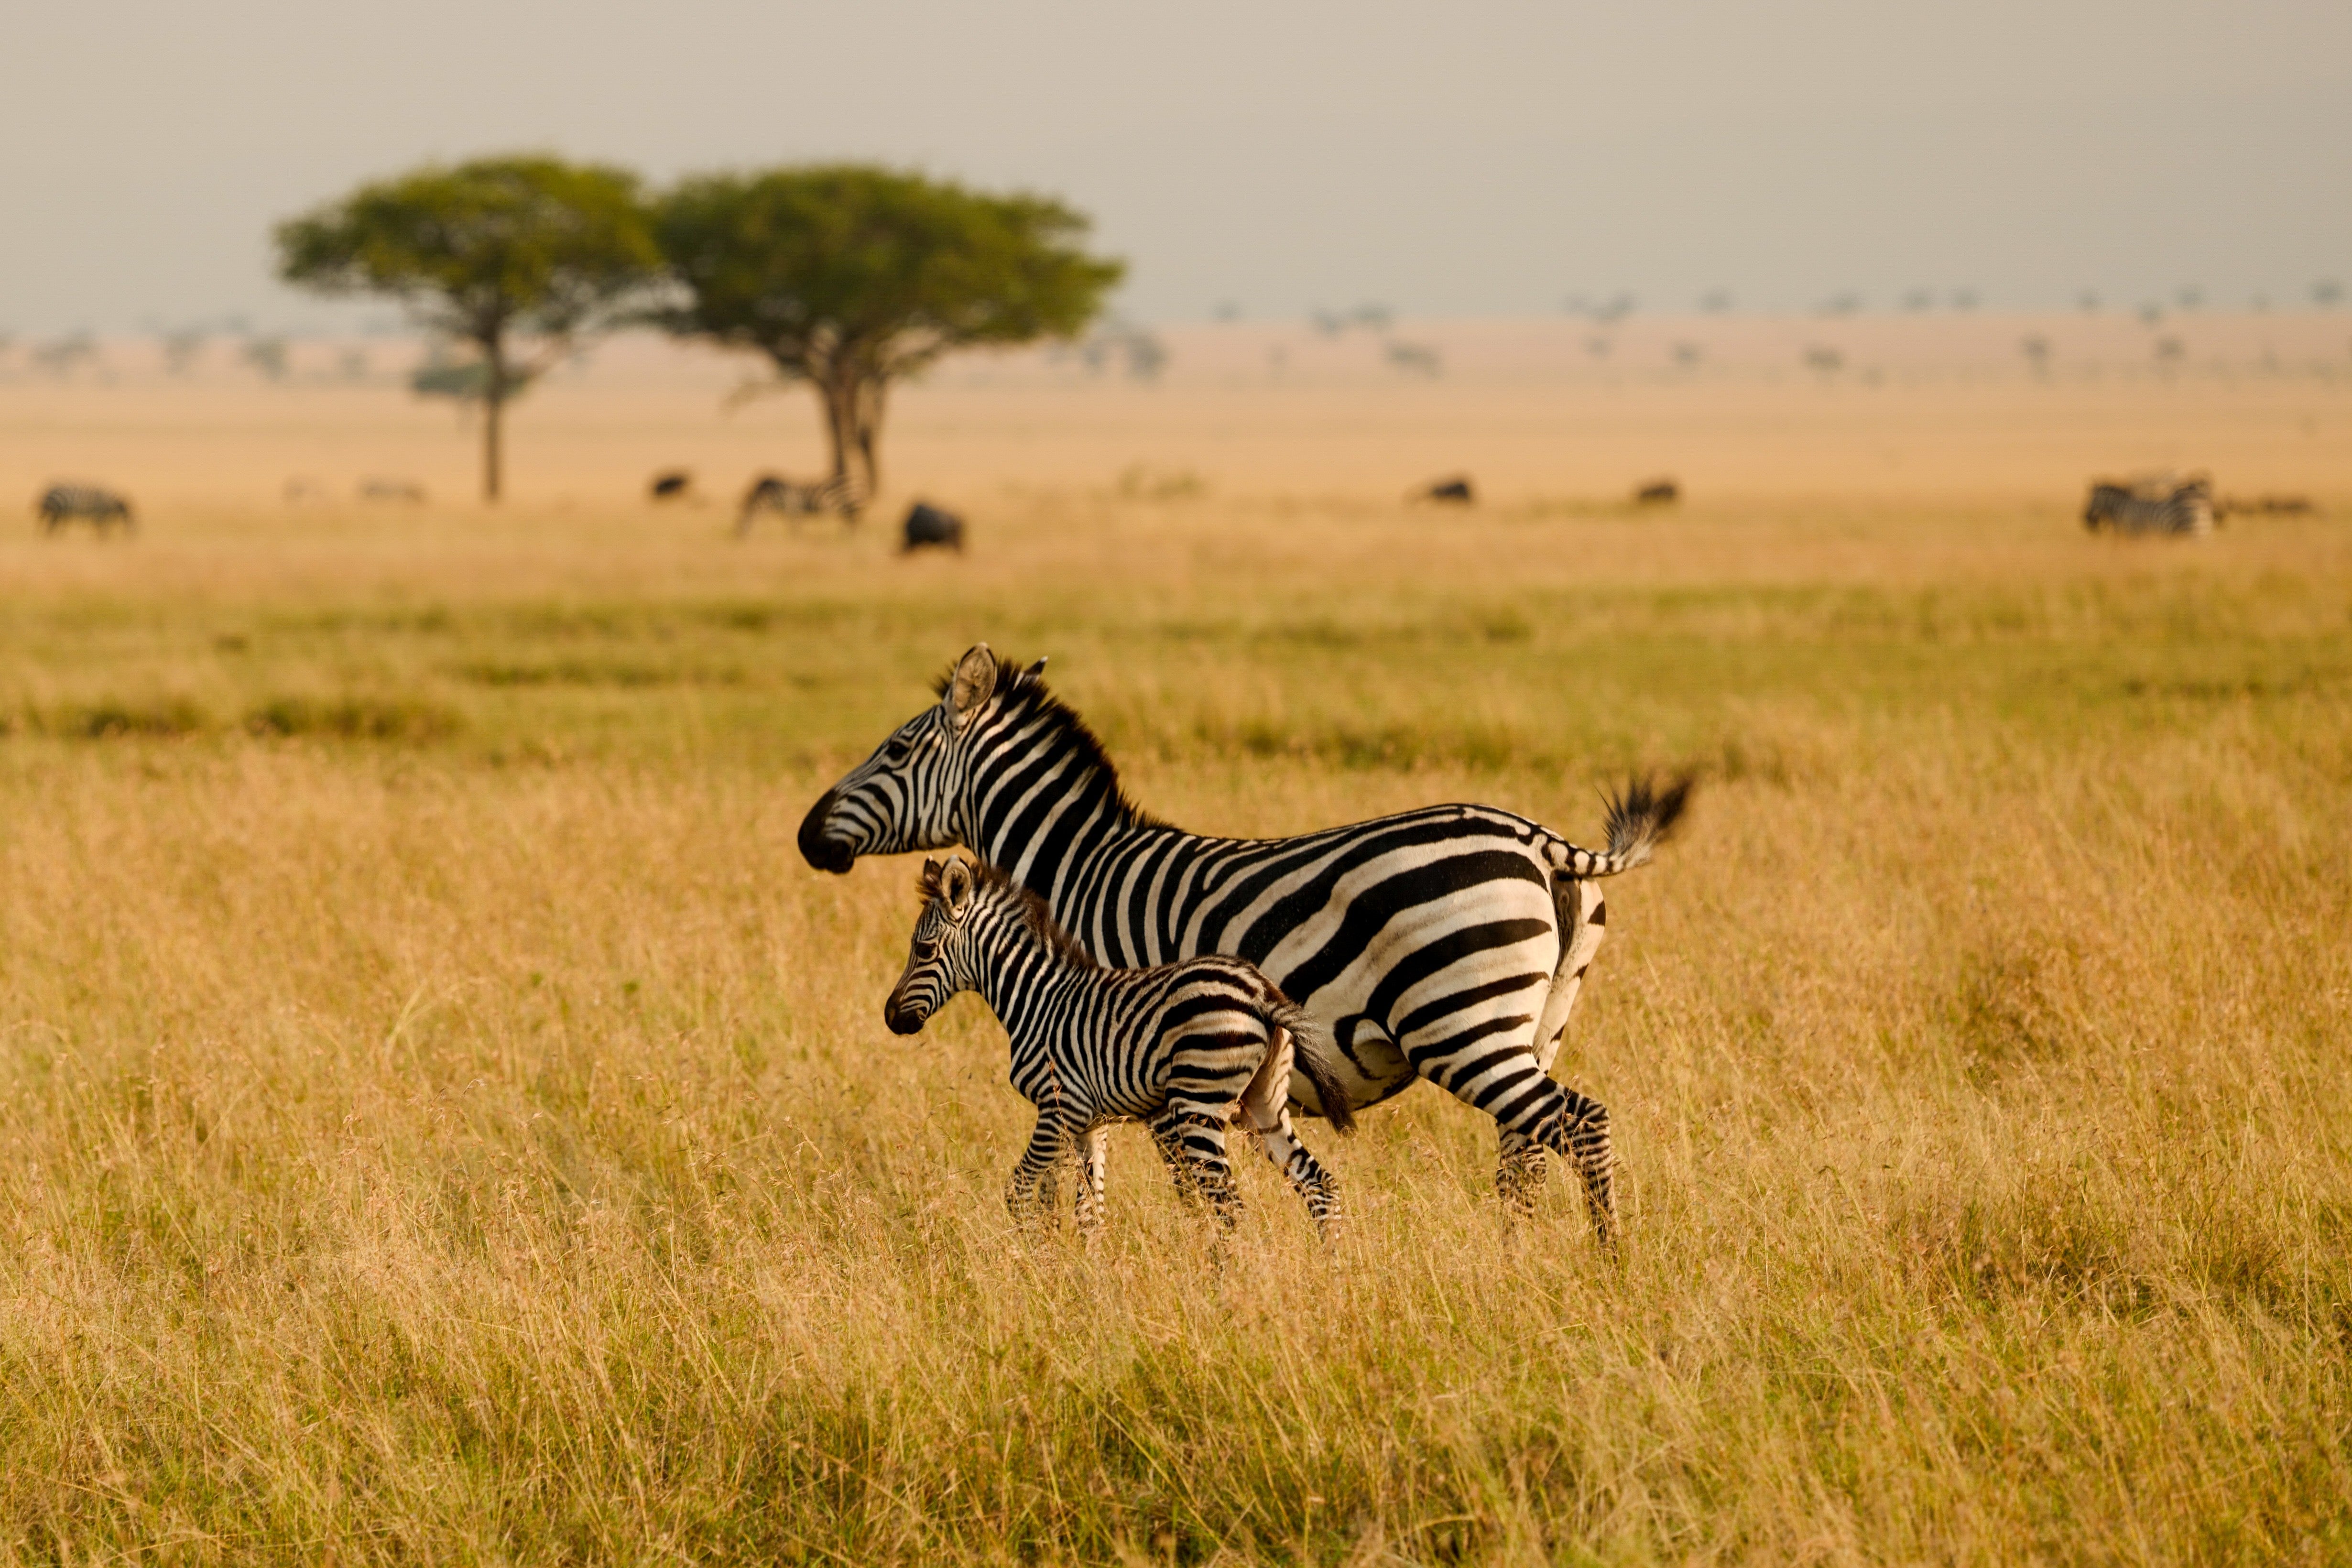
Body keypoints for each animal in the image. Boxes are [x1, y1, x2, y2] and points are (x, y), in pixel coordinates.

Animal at [36, 484, 134, 535]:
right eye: (128, 516)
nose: (133, 534)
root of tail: (48, 491)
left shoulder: (100, 514)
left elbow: (102, 526)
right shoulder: (99, 513)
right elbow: (101, 526)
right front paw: (102, 537)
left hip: (56, 512)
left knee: (51, 523)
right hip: (55, 510)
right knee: (47, 522)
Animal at [738, 472, 862, 534]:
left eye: (744, 520)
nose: (738, 535)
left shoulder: (792, 507)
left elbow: (795, 527)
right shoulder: (790, 510)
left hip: (837, 504)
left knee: (850, 518)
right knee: (850, 518)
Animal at [886, 854, 1357, 1236]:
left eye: (924, 950)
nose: (891, 1018)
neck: (1036, 999)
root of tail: (1259, 989)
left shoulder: (1059, 1108)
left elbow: (1019, 1192)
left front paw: (1029, 1263)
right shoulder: (1090, 1123)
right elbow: (1088, 1211)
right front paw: (1086, 1279)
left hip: (1199, 1104)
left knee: (1229, 1208)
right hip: (1264, 1104)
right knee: (1321, 1187)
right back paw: (1329, 1273)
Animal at [2083, 475, 2214, 536]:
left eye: (2092, 500)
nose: (2087, 519)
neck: (2123, 508)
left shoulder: (2135, 533)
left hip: (2194, 528)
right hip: (2202, 529)